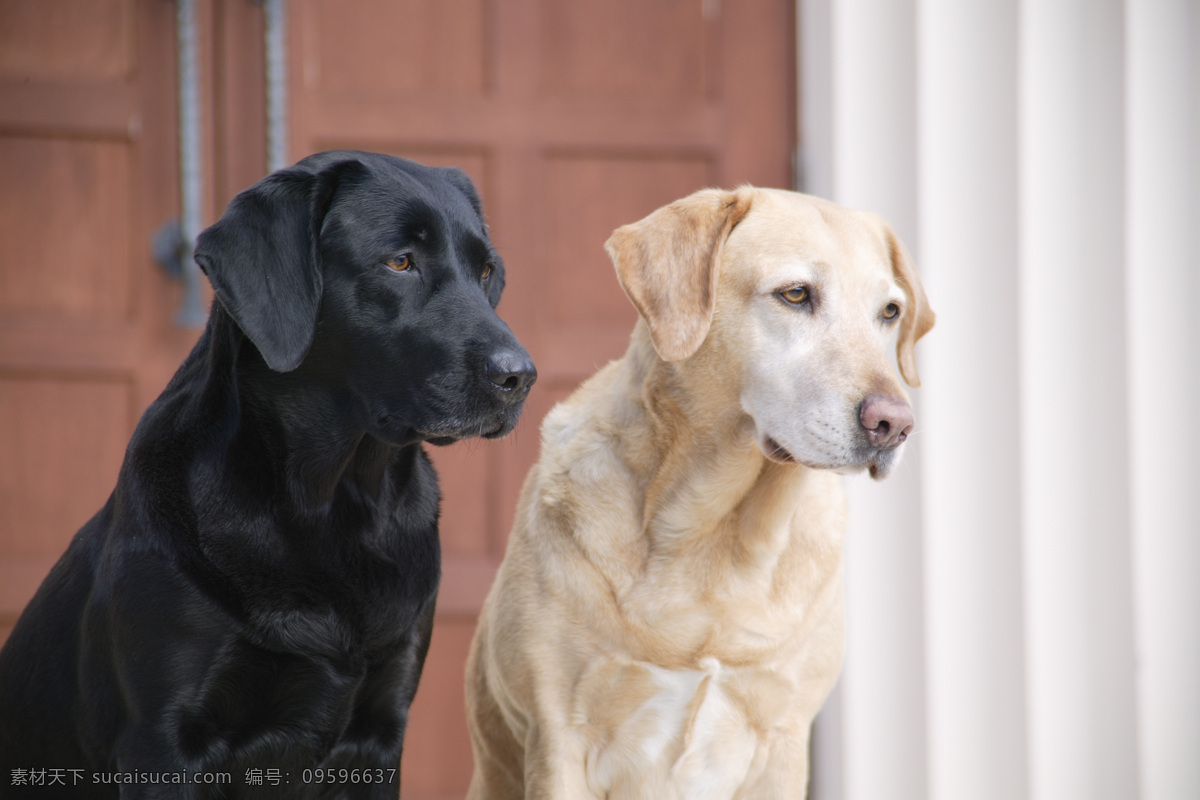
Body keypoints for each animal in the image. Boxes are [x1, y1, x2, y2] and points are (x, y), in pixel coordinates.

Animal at [0, 153, 535, 796]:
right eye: (400, 261)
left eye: (485, 271)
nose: (520, 377)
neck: (335, 505)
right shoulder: (161, 741)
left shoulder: (381, 728)